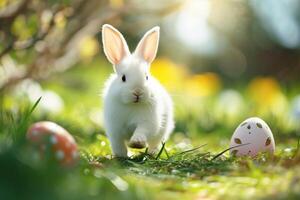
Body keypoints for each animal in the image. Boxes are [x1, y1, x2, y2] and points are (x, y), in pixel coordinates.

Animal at [102, 23, 175, 158]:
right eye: (123, 78)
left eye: (146, 77)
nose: (137, 92)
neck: (132, 105)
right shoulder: (114, 128)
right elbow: (118, 143)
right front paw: (120, 155)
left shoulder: (147, 122)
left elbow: (142, 131)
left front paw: (137, 143)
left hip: (163, 130)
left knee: (155, 143)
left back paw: (151, 153)